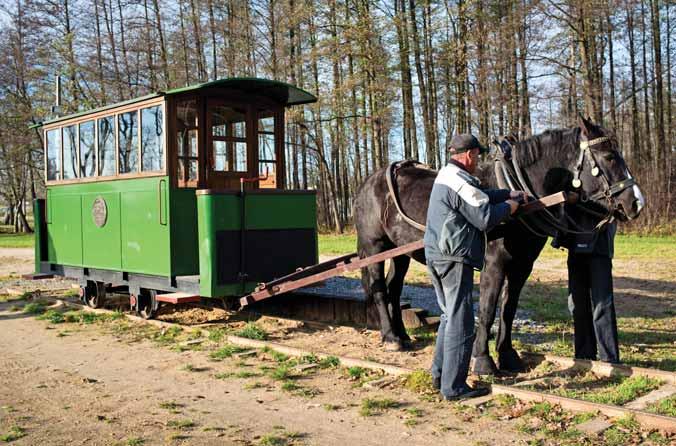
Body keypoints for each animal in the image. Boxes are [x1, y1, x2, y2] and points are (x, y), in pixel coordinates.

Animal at [354, 118, 644, 366]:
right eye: (609, 156)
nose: (636, 203)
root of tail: (369, 181)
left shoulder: (522, 265)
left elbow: (508, 308)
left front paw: (507, 356)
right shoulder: (495, 264)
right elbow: (488, 308)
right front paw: (483, 360)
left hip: (398, 252)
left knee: (393, 288)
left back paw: (402, 335)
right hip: (375, 246)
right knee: (380, 289)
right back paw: (391, 338)